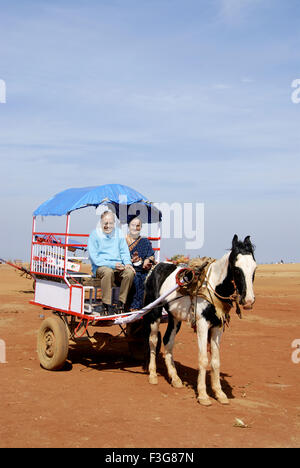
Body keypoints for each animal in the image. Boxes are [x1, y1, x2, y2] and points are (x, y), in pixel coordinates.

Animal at [142, 234, 255, 406]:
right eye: (236, 269)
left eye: (255, 268)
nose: (248, 301)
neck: (212, 286)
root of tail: (155, 266)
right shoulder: (202, 324)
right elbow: (203, 359)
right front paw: (203, 395)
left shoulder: (217, 326)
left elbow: (215, 360)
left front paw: (219, 393)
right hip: (154, 313)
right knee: (153, 341)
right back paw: (153, 374)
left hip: (175, 318)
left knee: (168, 341)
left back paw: (175, 378)